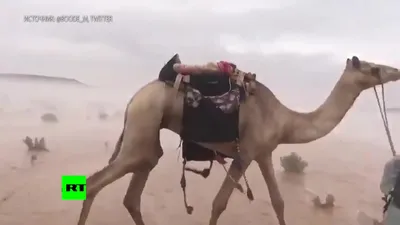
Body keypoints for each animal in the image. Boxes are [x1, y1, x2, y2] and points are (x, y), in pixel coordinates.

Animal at [76, 55, 400, 225]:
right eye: (373, 68)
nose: (395, 71)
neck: (284, 119)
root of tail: (133, 99)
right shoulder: (245, 153)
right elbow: (219, 203)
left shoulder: (264, 152)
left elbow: (278, 201)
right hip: (143, 122)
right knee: (94, 182)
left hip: (146, 137)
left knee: (134, 190)